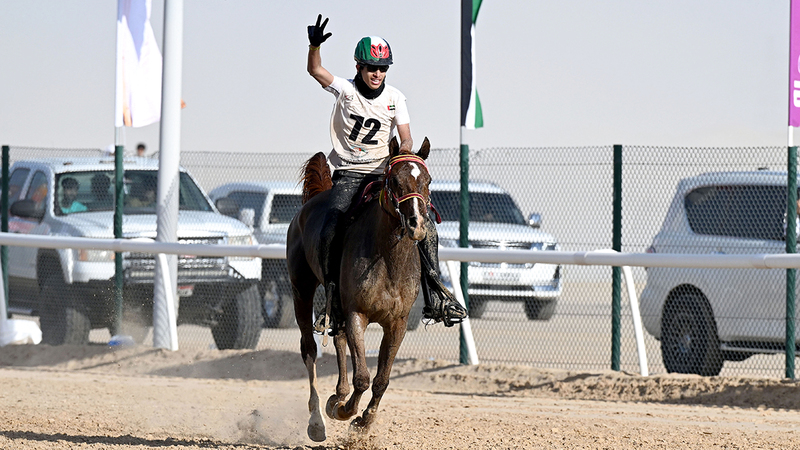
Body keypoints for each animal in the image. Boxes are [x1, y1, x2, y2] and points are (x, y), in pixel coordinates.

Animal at [286, 135, 432, 442]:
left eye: (427, 180)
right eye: (394, 181)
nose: (416, 224)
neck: (387, 258)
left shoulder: (397, 322)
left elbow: (381, 379)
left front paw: (363, 422)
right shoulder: (357, 314)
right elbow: (363, 377)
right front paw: (345, 412)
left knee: (338, 338)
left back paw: (338, 396)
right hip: (300, 289)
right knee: (309, 349)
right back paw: (317, 420)